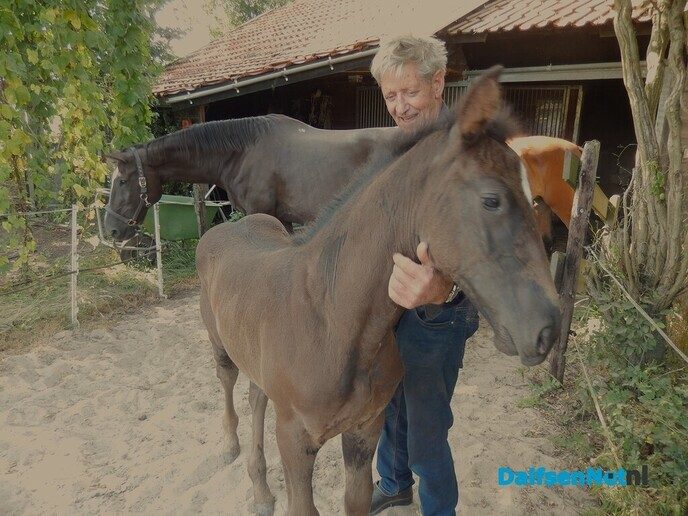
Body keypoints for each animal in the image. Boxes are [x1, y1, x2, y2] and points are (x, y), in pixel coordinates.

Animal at [195, 68, 561, 516]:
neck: (332, 322)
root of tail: (222, 228)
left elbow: (356, 500)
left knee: (255, 395)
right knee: (229, 383)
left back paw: (261, 490)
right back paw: (233, 452)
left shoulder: (364, 430)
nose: (548, 329)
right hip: (220, 346)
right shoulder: (294, 439)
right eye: (492, 200)